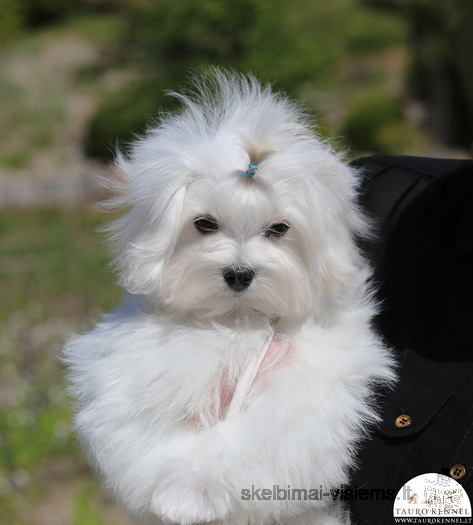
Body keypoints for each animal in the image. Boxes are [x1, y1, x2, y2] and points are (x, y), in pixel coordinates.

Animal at [63, 70, 394, 524]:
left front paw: (191, 489)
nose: (239, 274)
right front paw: (174, 495)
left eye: (279, 229)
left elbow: (258, 434)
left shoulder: (308, 381)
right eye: (204, 224)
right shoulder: (135, 370)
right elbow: (146, 427)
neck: (237, 318)